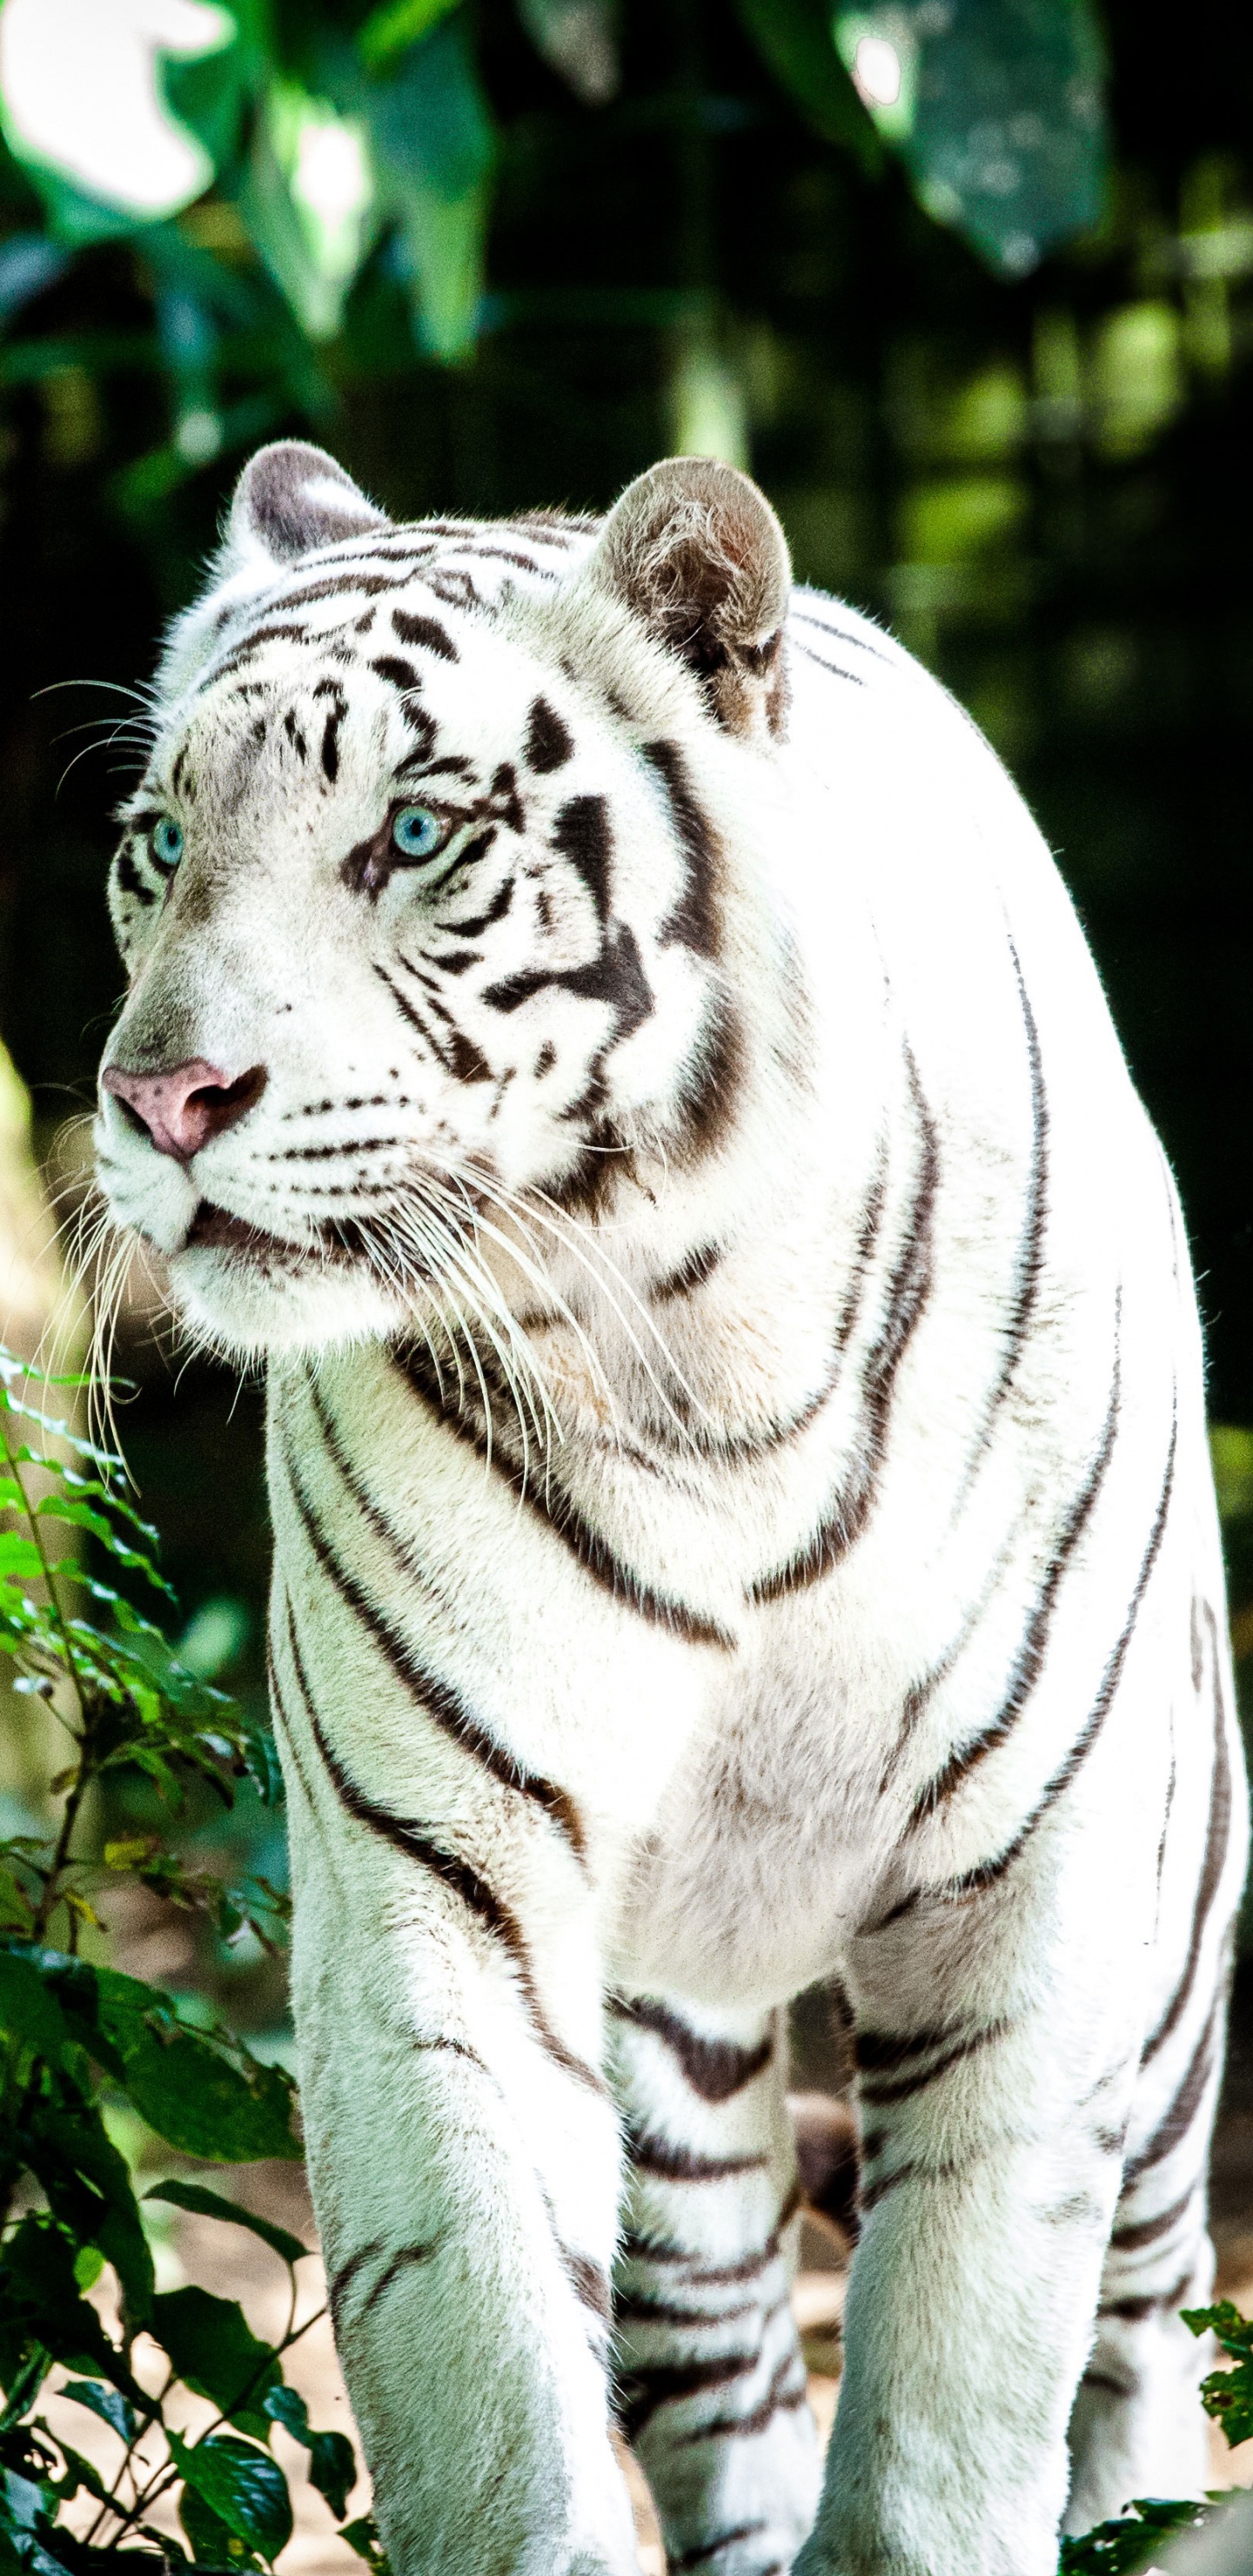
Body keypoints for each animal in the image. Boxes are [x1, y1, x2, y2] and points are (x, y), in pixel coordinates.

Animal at [93, 437, 1246, 2576]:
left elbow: (957, 2410)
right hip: (680, 2071)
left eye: (416, 832)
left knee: (1146, 2333)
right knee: (727, 2373)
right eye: (160, 841)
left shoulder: (1032, 1896)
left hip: (1172, 1957)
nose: (160, 1101)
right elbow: (489, 2393)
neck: (696, 1357)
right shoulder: (439, 1885)